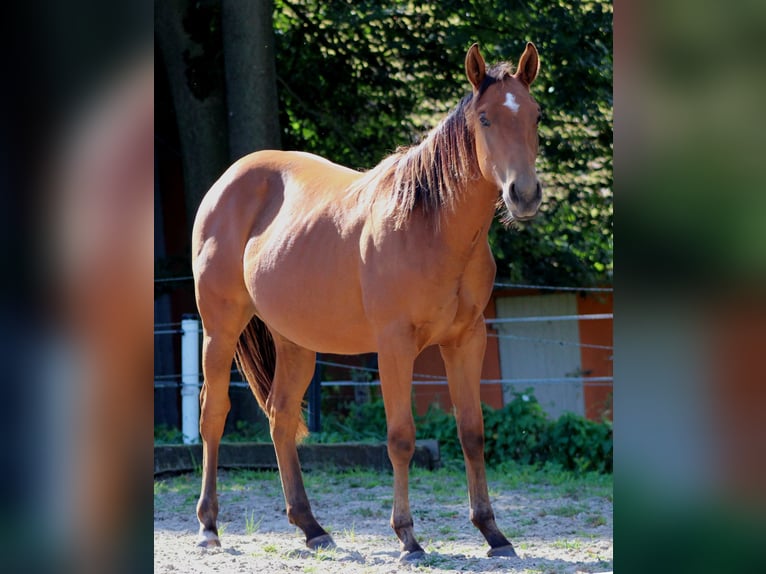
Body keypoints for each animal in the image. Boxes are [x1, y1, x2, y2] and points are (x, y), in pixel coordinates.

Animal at [191, 42, 542, 562]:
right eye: (485, 119)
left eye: (535, 115)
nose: (524, 194)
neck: (430, 226)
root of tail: (227, 182)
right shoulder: (394, 346)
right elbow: (400, 438)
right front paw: (408, 537)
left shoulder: (467, 340)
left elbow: (472, 434)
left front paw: (493, 533)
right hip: (220, 329)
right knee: (214, 414)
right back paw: (209, 527)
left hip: (295, 342)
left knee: (281, 416)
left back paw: (312, 527)